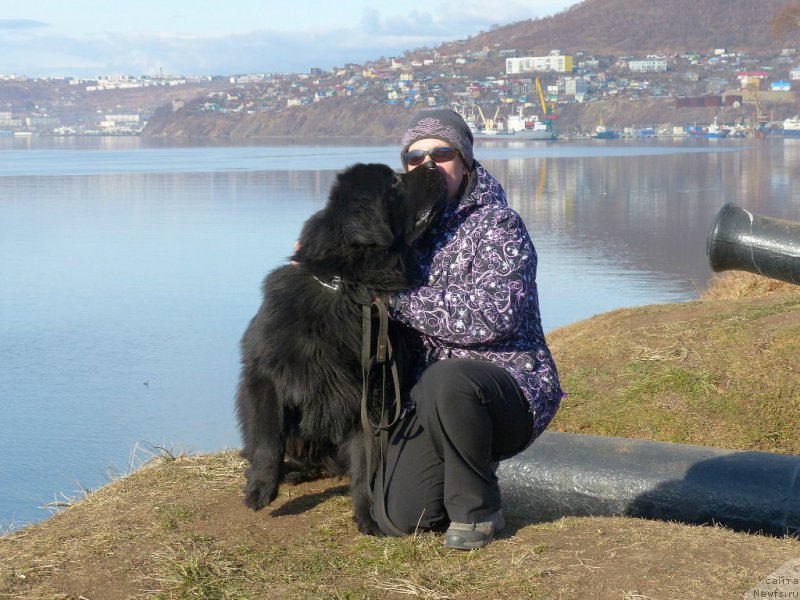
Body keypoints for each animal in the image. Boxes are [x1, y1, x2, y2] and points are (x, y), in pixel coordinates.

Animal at [238, 163, 446, 536]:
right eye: (395, 181)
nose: (434, 165)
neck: (347, 288)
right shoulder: (265, 377)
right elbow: (267, 438)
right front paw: (260, 488)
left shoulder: (374, 396)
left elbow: (368, 461)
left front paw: (369, 514)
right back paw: (294, 471)